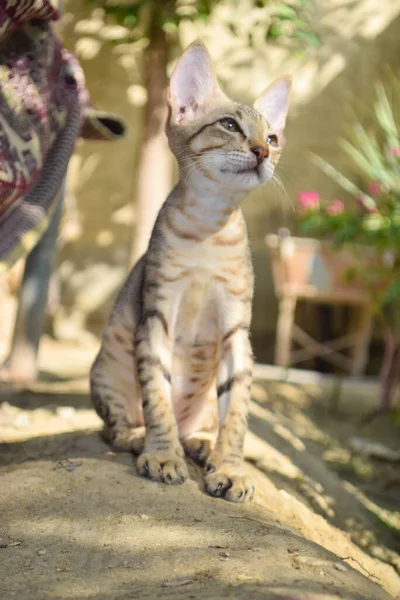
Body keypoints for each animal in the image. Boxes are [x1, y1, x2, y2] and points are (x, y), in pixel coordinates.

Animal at [90, 39, 290, 504]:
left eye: (272, 137)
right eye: (230, 125)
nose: (263, 152)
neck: (208, 231)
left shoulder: (237, 331)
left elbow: (237, 415)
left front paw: (230, 468)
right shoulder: (157, 316)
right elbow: (158, 397)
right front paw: (162, 455)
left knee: (203, 424)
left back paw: (201, 444)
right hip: (106, 369)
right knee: (115, 427)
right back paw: (141, 437)